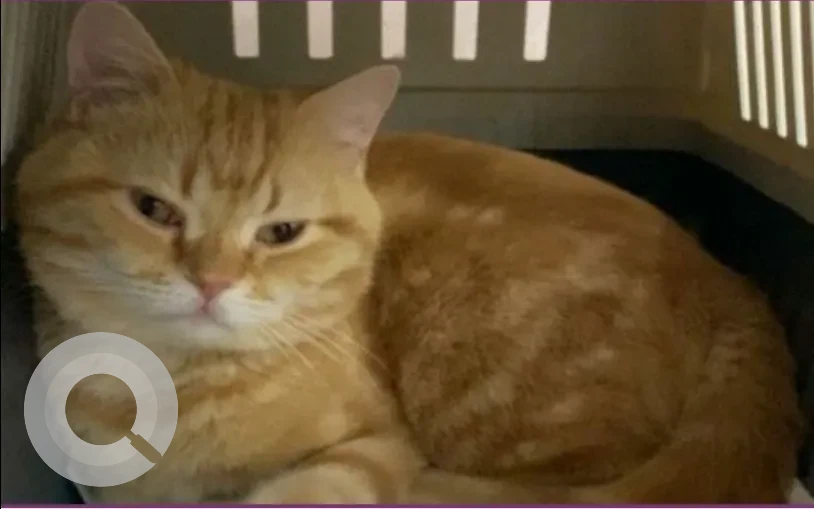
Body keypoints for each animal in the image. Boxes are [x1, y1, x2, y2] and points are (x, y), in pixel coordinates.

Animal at [15, 2, 802, 504]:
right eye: (154, 210)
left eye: (280, 232)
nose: (212, 281)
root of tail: (727, 277)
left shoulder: (379, 438)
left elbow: (319, 483)